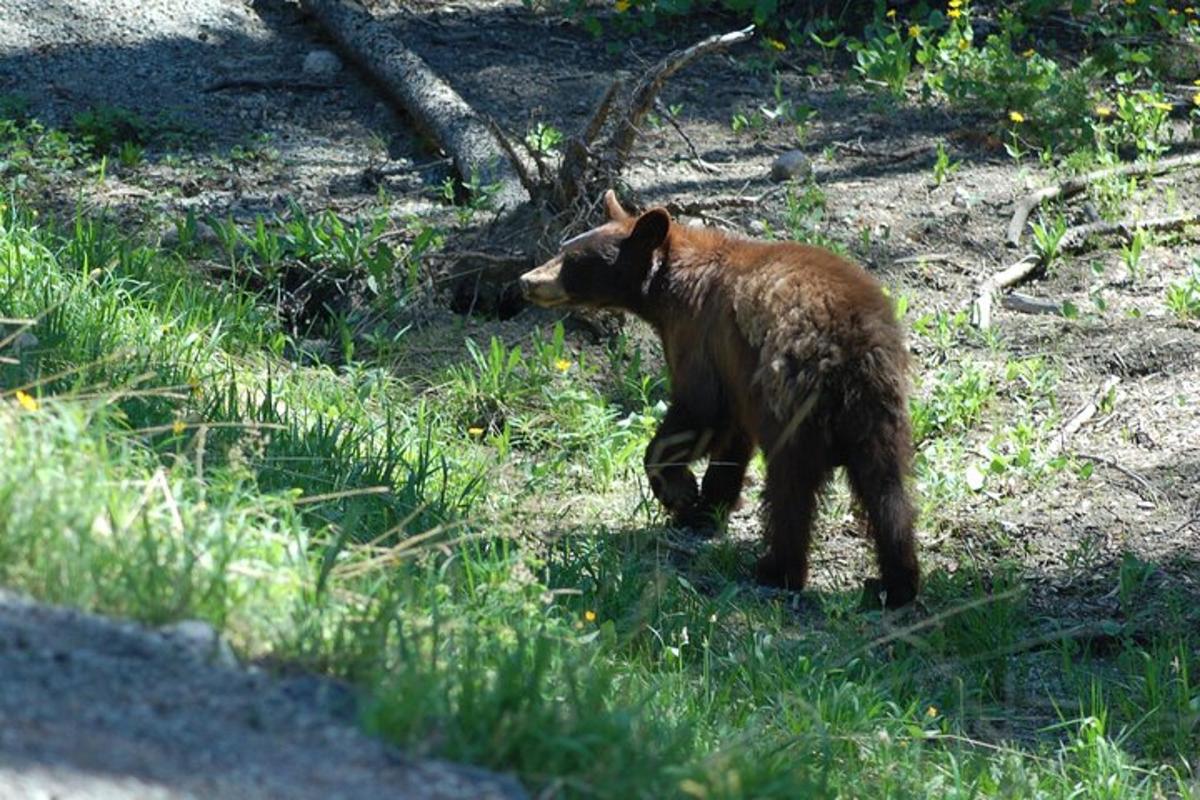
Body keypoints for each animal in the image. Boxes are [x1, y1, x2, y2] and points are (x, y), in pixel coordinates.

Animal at [519, 190, 920, 608]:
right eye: (563, 248)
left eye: (573, 260)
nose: (526, 280)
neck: (669, 283)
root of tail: (849, 344)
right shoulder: (737, 374)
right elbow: (731, 442)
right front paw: (707, 508)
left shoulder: (699, 336)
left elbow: (698, 411)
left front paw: (680, 494)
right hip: (878, 409)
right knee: (886, 489)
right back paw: (896, 583)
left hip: (793, 398)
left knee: (791, 487)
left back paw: (778, 570)